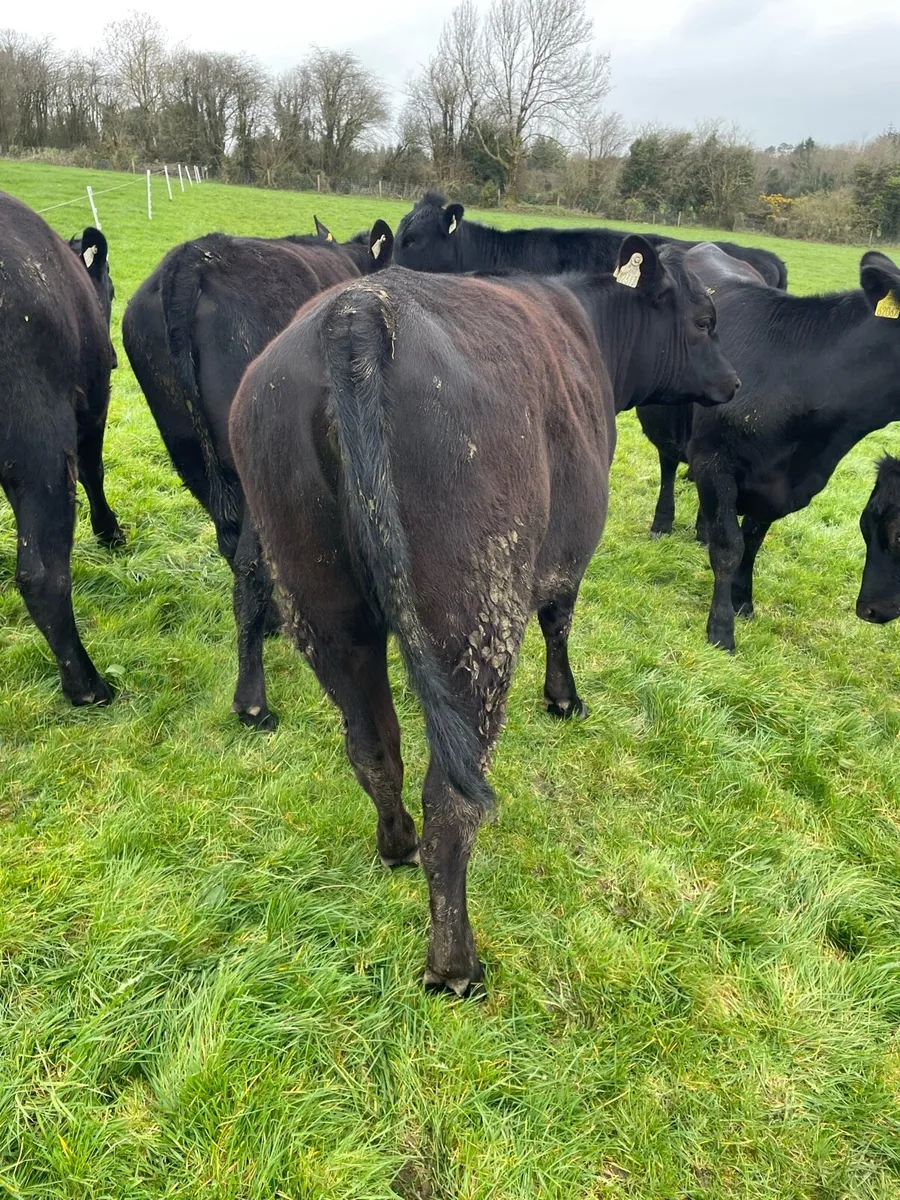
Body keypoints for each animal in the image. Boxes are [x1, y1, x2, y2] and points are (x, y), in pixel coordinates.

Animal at [229, 237, 739, 996]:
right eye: (704, 321)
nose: (734, 383)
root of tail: (357, 312)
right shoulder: (568, 550)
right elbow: (560, 619)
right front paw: (565, 699)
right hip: (476, 618)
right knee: (453, 798)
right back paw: (455, 966)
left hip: (323, 605)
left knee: (374, 749)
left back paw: (396, 845)